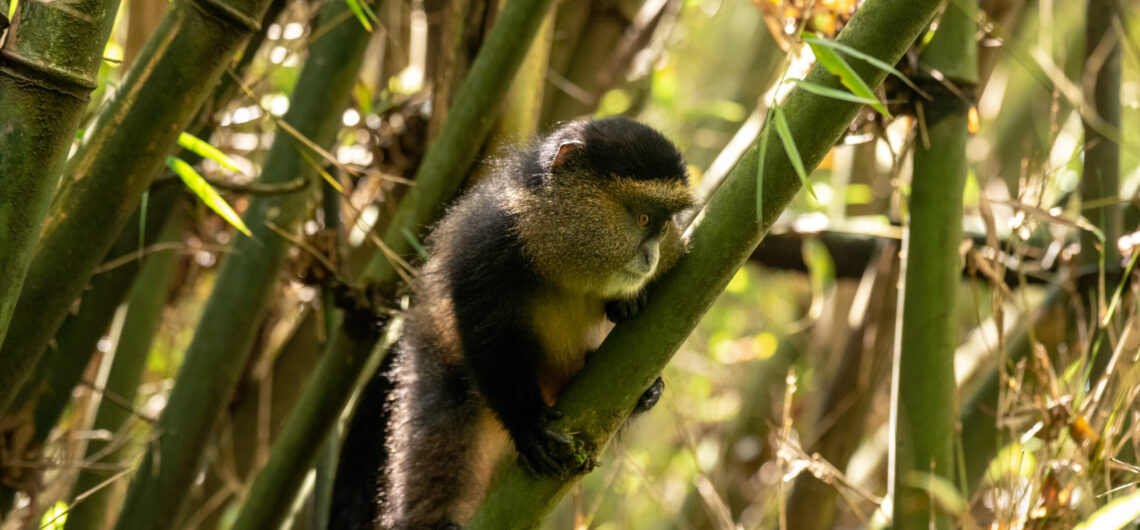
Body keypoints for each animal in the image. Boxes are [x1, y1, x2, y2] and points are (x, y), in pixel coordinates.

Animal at [345, 116, 694, 529]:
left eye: (665, 226)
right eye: (643, 218)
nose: (651, 255)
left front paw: (638, 352)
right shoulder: (488, 246)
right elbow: (487, 336)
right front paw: (527, 423)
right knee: (442, 423)